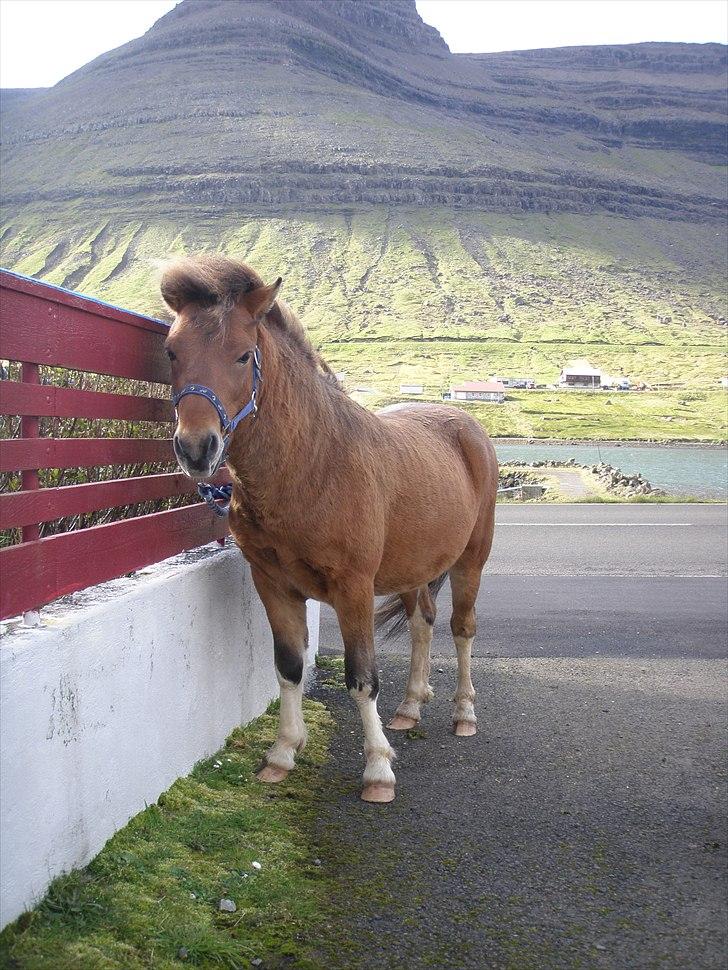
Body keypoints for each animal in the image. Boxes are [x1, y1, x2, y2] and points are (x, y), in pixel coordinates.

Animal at [161, 251, 498, 800]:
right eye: (172, 351)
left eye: (242, 355)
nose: (196, 448)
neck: (313, 464)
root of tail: (467, 425)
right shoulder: (274, 585)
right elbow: (289, 668)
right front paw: (282, 753)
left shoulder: (353, 588)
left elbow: (362, 678)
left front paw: (378, 768)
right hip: (412, 567)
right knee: (423, 623)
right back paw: (409, 707)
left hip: (472, 559)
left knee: (462, 628)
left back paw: (463, 713)